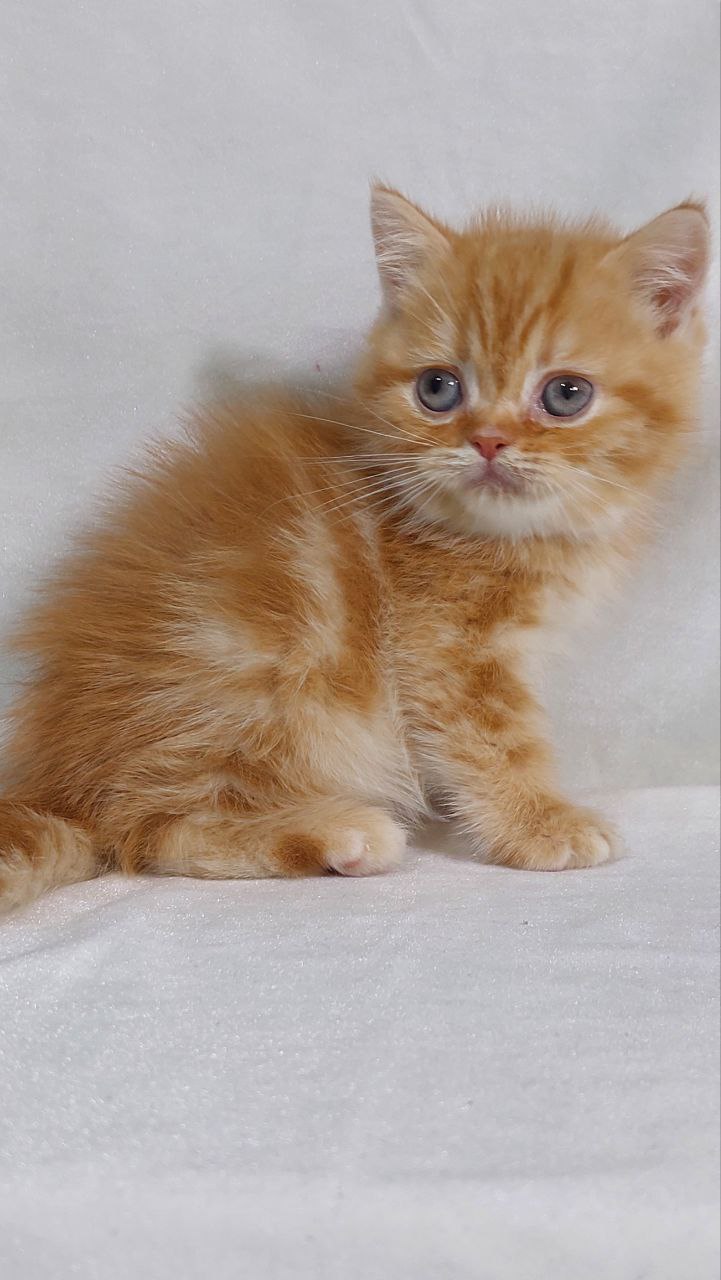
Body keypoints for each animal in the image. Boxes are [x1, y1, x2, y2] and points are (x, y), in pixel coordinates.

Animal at [0, 186, 712, 911]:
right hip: (249, 677)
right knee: (148, 824)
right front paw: (539, 822)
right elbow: (494, 740)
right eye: (438, 388)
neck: (498, 533)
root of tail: (57, 777)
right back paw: (338, 833)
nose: (487, 440)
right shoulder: (444, 646)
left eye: (566, 394)